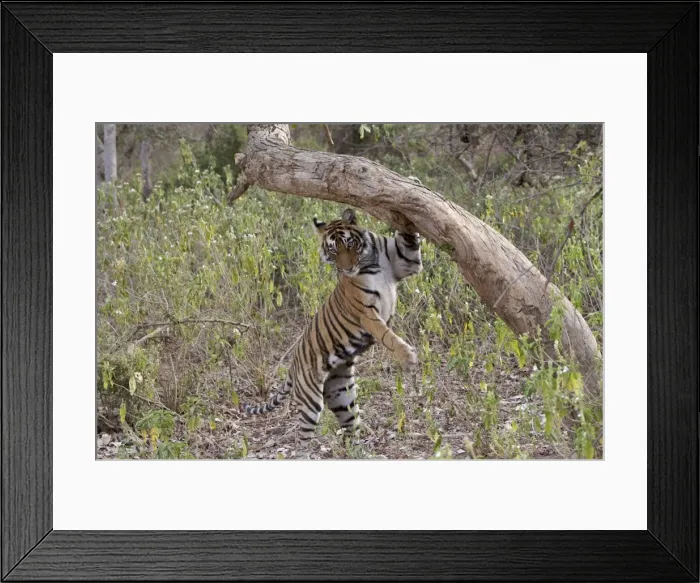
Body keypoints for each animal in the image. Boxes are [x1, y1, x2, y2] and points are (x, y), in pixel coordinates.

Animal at [242, 207, 423, 448]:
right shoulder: (365, 312)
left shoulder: (406, 261)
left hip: (341, 395)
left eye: (350, 244)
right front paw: (408, 357)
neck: (371, 261)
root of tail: (293, 365)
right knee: (302, 439)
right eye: (333, 250)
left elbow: (409, 237)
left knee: (350, 430)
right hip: (310, 400)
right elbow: (387, 336)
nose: (346, 268)